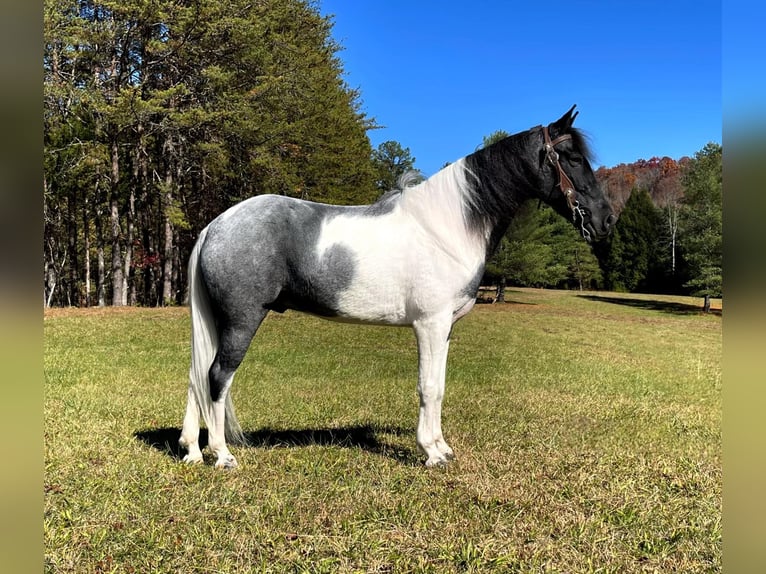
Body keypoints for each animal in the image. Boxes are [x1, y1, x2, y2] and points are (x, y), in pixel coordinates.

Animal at [178, 106, 616, 470]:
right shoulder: (430, 324)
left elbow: (439, 386)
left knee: (198, 376)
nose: (607, 219)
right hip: (241, 320)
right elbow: (428, 387)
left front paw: (441, 448)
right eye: (572, 158)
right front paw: (431, 454)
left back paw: (193, 451)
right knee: (217, 377)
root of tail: (217, 225)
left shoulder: (445, 328)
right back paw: (222, 455)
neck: (450, 226)